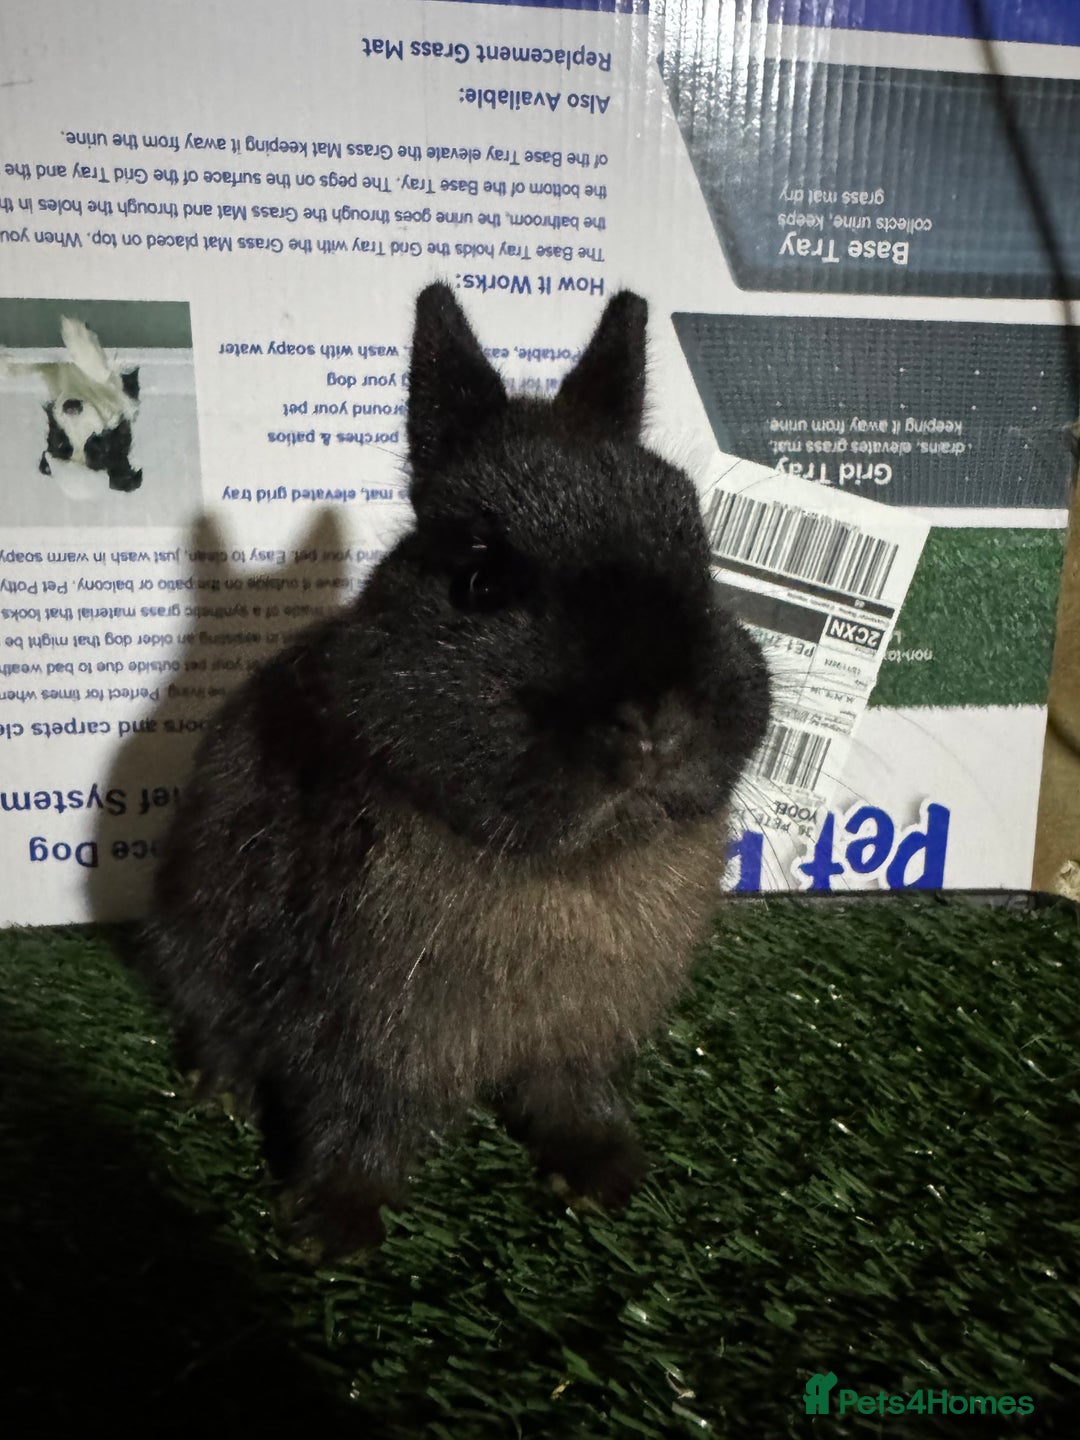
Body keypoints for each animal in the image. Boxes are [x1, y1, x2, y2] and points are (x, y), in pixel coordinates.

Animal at [145, 283, 771, 1255]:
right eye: (480, 584)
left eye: (699, 552)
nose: (656, 724)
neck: (561, 867)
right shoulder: (348, 1029)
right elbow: (355, 1119)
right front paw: (331, 1227)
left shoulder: (581, 1039)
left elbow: (576, 1097)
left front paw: (602, 1176)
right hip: (194, 931)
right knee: (213, 1020)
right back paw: (221, 1093)